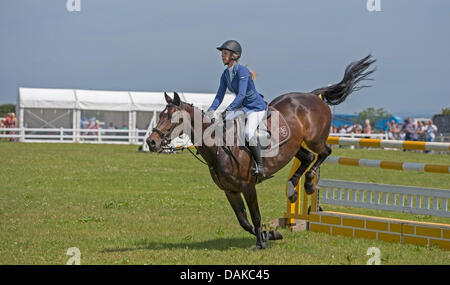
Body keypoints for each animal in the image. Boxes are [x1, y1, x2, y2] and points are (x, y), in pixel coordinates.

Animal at [146, 53, 374, 248]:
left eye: (174, 118)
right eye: (160, 115)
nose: (151, 142)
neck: (219, 148)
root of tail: (312, 96)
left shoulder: (248, 186)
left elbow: (255, 216)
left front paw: (261, 242)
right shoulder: (230, 190)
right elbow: (243, 220)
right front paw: (269, 234)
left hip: (315, 139)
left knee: (324, 153)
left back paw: (309, 184)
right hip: (294, 147)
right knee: (307, 157)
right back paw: (292, 189)